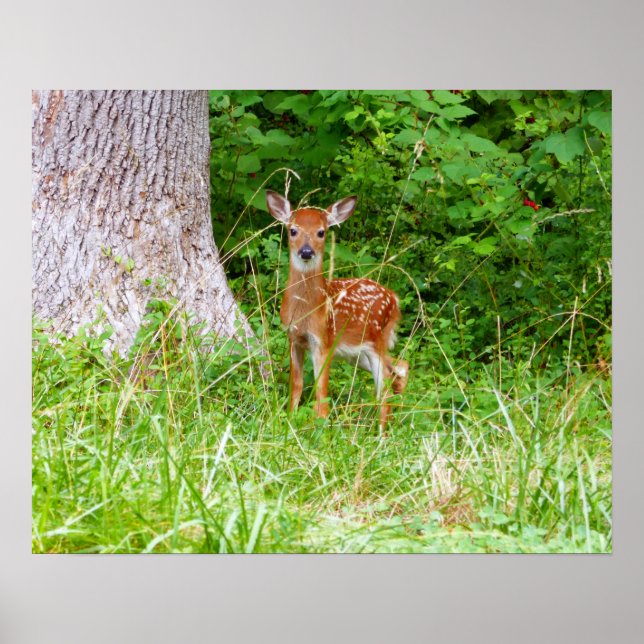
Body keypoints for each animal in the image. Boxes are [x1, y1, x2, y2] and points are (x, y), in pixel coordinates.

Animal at [266, 191, 408, 430]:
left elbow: (320, 391)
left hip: (376, 341)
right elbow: (296, 384)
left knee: (385, 388)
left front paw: (320, 427)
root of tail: (394, 298)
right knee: (399, 367)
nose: (306, 251)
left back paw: (382, 432)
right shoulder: (294, 338)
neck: (306, 311)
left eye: (321, 232)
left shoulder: (324, 340)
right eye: (293, 230)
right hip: (357, 352)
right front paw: (289, 419)